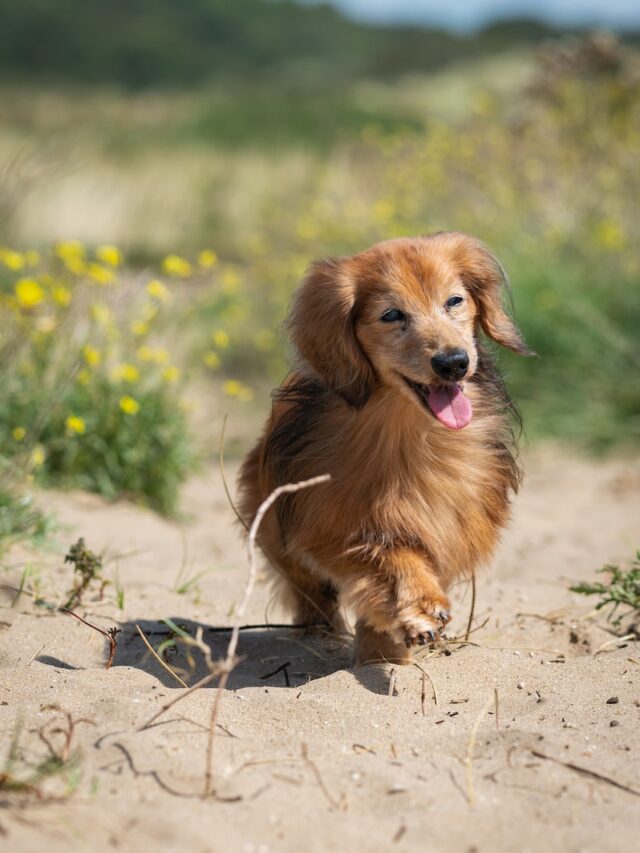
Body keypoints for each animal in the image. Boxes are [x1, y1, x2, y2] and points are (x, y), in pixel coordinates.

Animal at [238, 233, 532, 664]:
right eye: (392, 315)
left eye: (454, 301)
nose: (453, 362)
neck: (410, 435)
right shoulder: (333, 528)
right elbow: (389, 558)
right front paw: (417, 611)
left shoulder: (450, 524)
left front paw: (393, 647)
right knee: (311, 592)